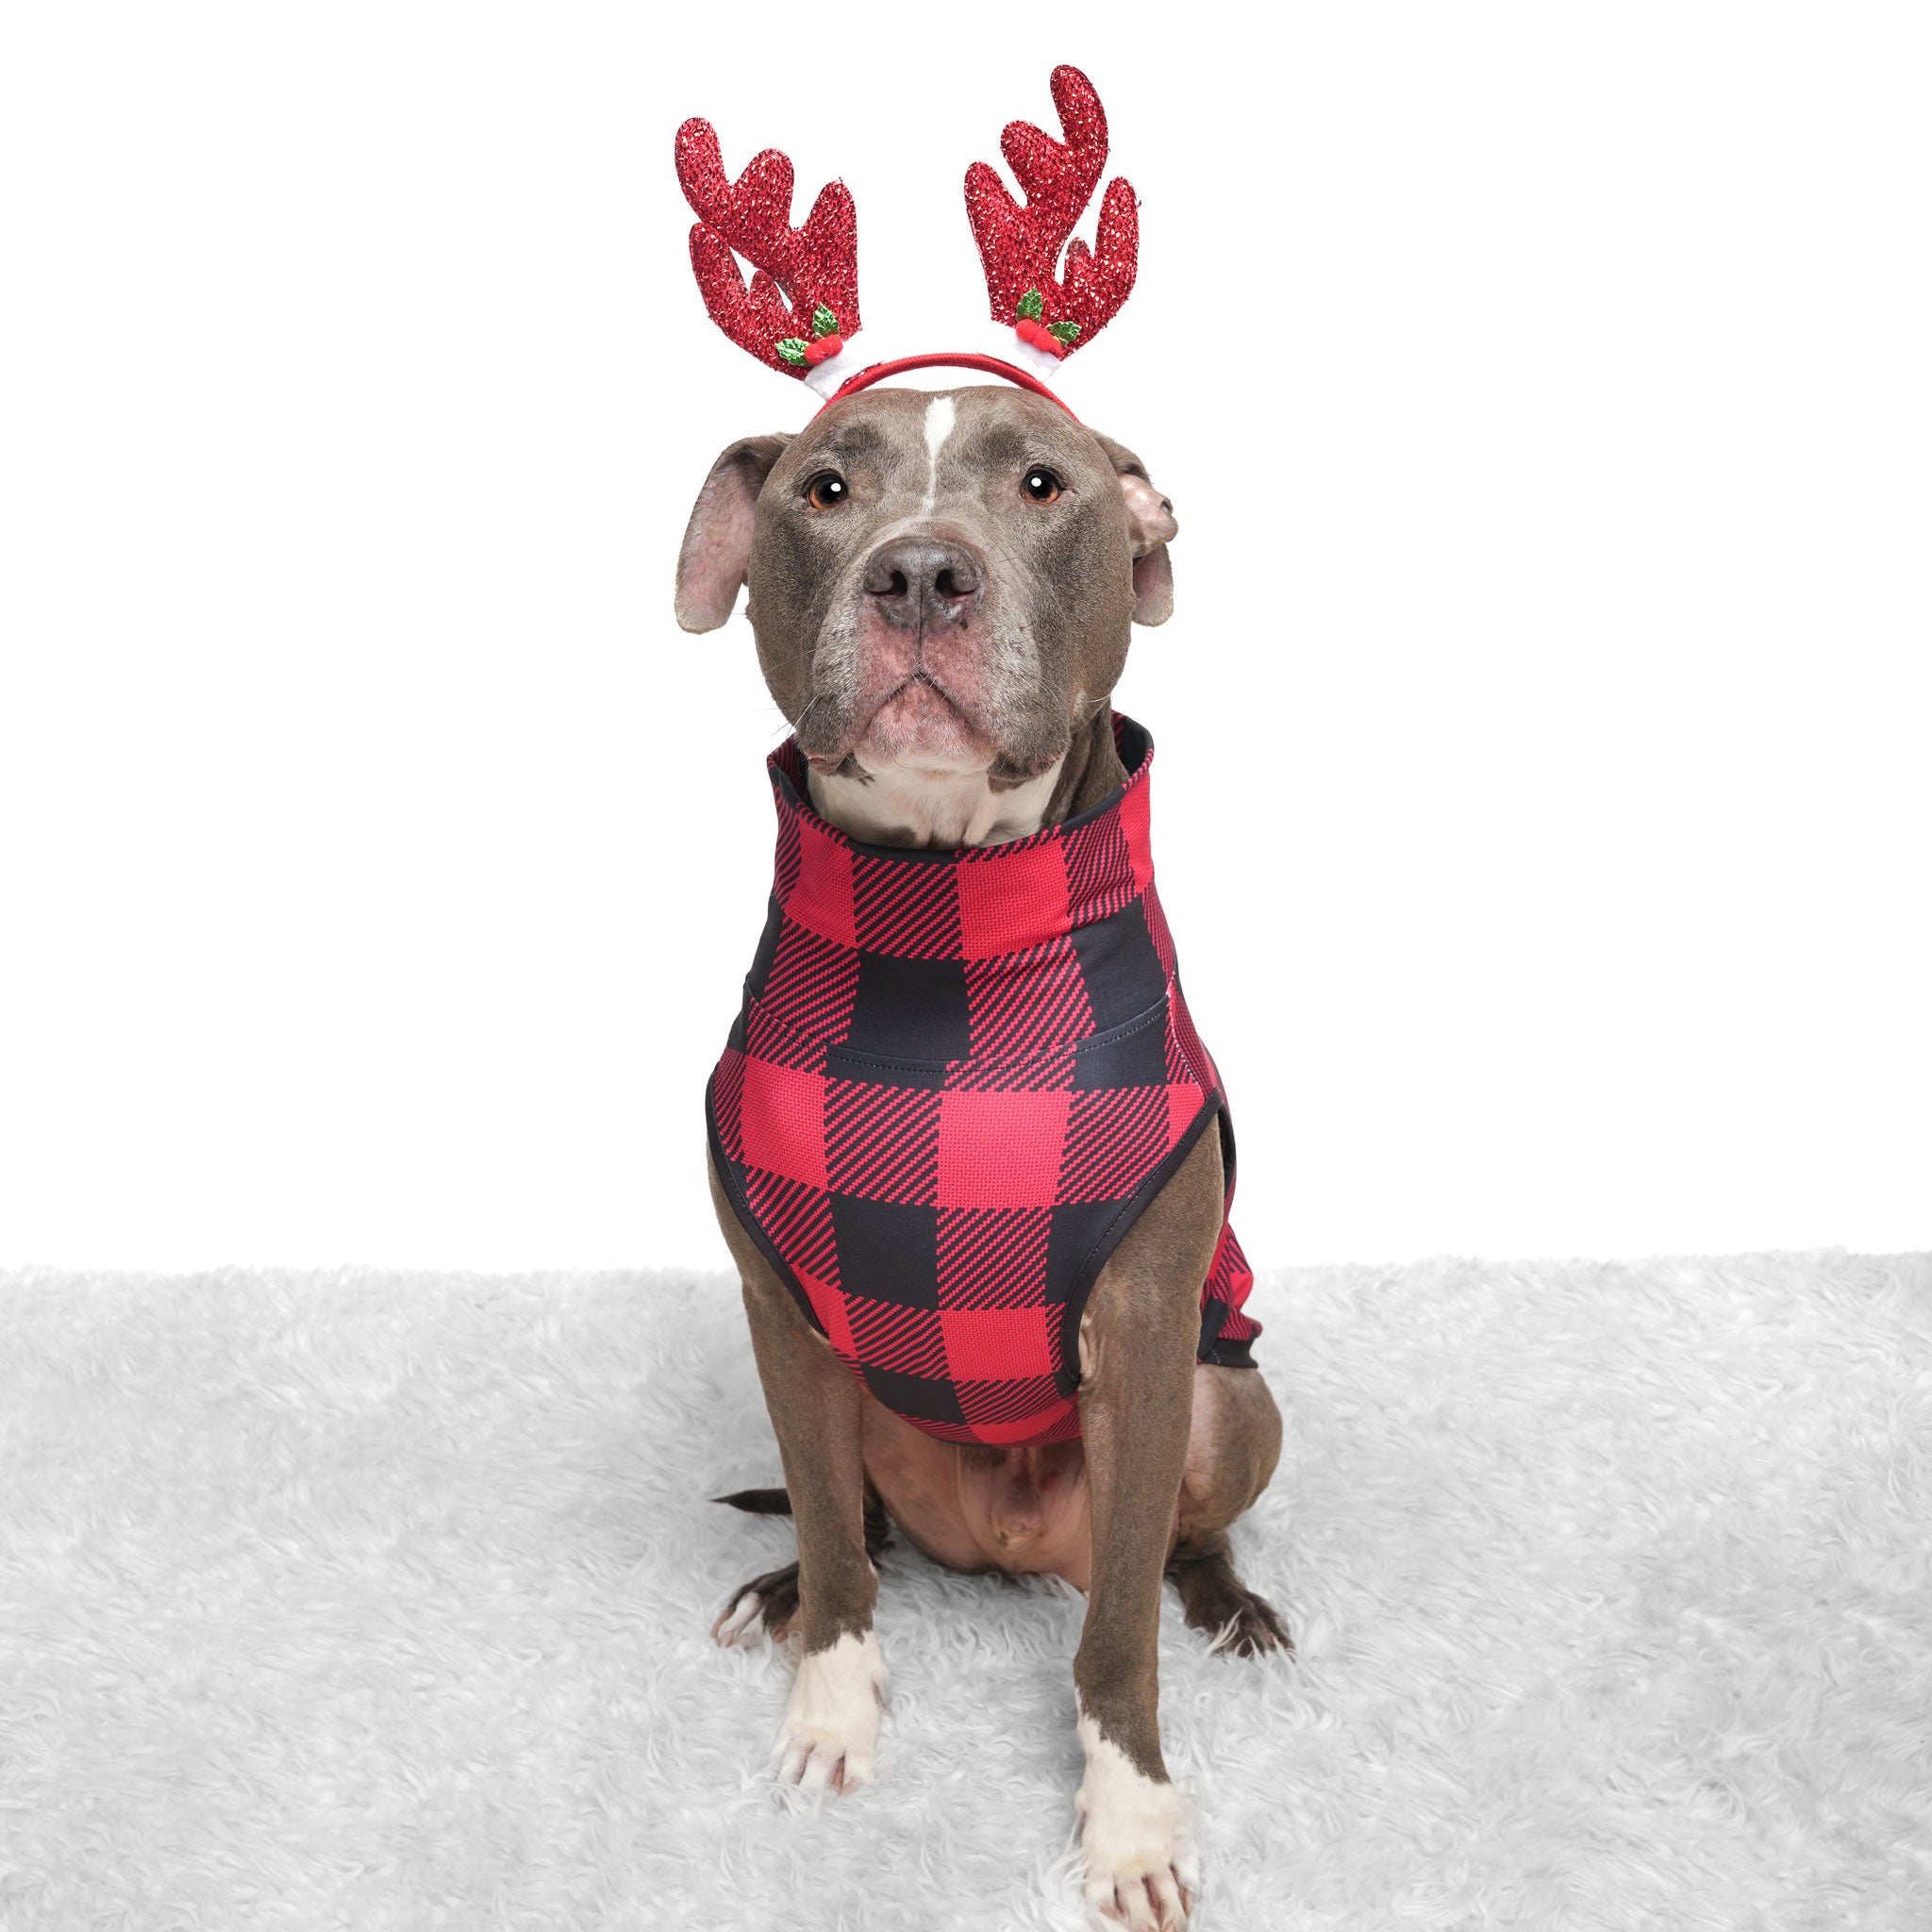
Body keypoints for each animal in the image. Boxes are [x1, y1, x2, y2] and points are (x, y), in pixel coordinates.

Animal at [672, 380, 1291, 1932]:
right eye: (826, 488)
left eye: (1042, 484)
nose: (918, 574)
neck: (942, 941)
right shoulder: (780, 1312)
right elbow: (839, 1549)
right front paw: (830, 1714)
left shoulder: (1143, 1332)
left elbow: (1118, 1634)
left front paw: (1128, 1830)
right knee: (860, 1526)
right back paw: (778, 1588)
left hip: (1230, 1401)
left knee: (1176, 1541)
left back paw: (1234, 1608)